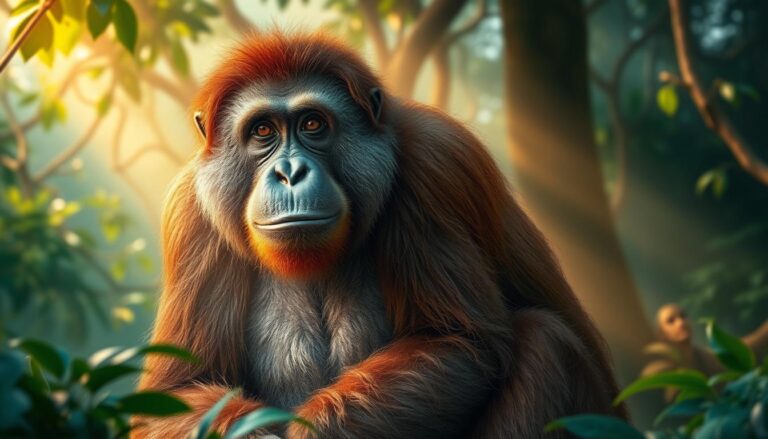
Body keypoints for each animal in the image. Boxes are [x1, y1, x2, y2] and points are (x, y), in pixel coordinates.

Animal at [135, 32, 625, 438]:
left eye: (312, 125)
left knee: (546, 340)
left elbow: (461, 341)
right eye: (262, 131)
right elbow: (176, 392)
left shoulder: (433, 162)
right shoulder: (191, 215)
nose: (289, 172)